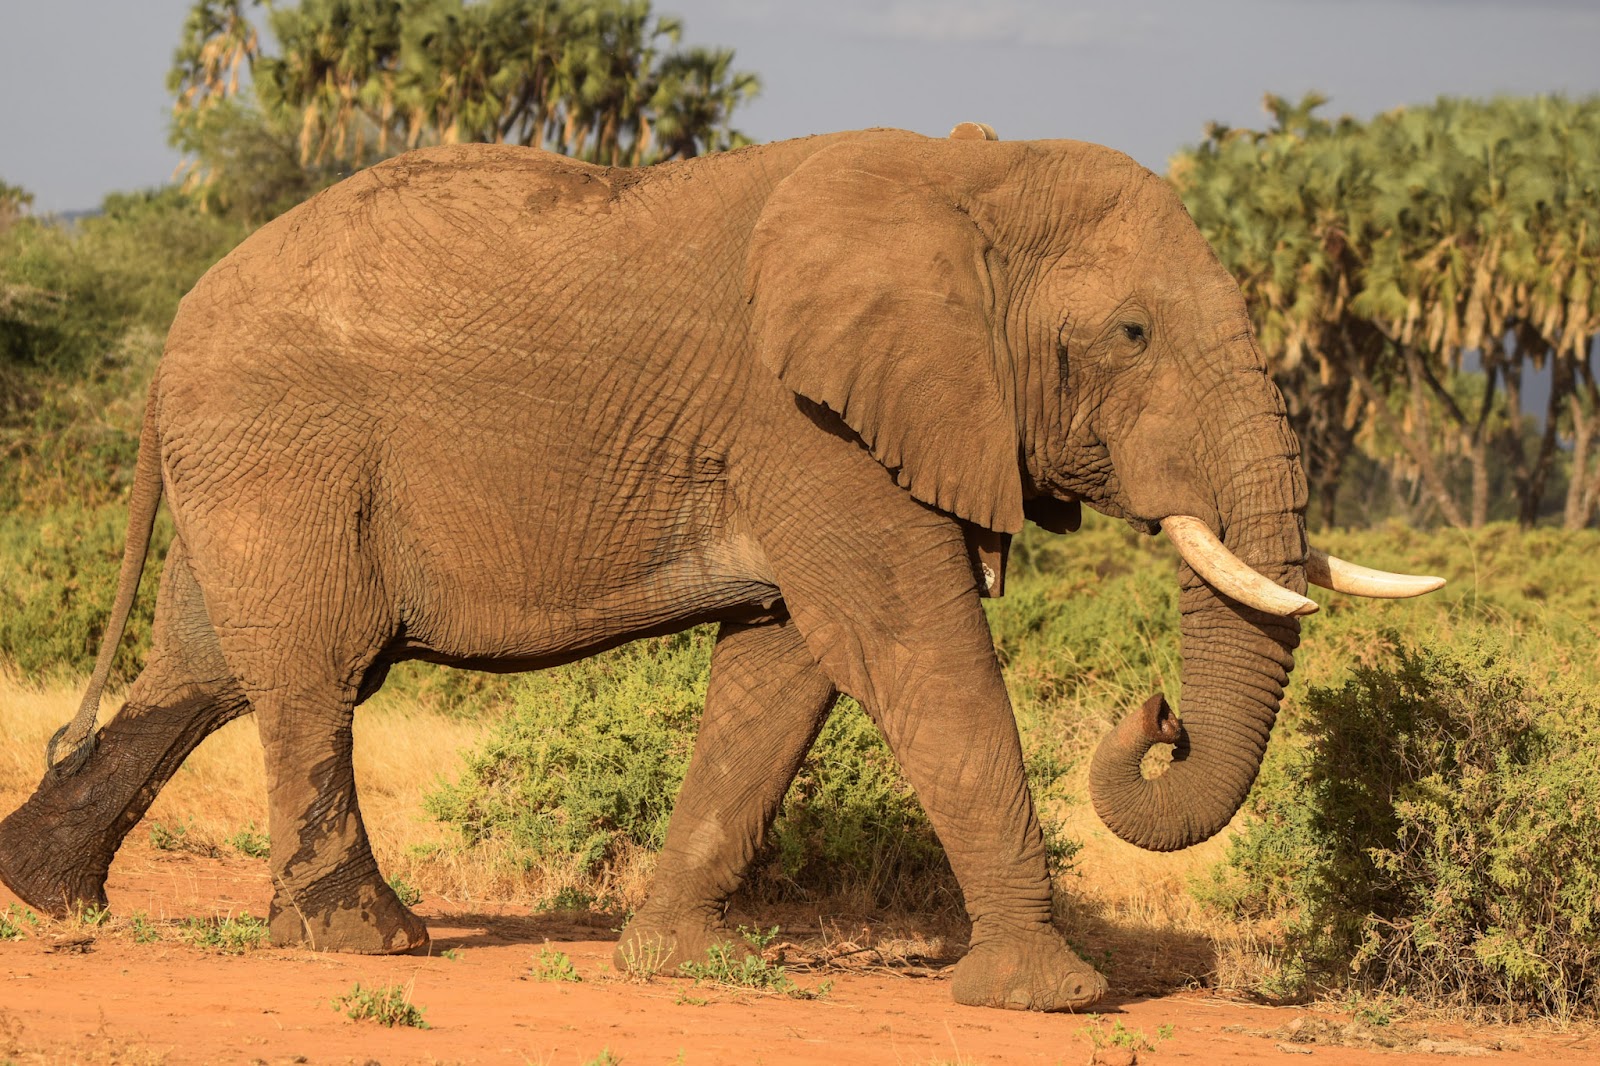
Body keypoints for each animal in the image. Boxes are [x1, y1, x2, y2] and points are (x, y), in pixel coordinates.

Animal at [0, 122, 1442, 1012]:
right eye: (1132, 334)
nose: (1156, 712)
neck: (963, 179)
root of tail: (172, 337)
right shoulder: (809, 426)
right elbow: (907, 648)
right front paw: (1057, 997)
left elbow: (784, 670)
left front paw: (675, 960)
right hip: (287, 454)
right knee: (309, 679)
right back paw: (368, 939)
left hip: (249, 470)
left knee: (199, 673)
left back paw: (49, 899)